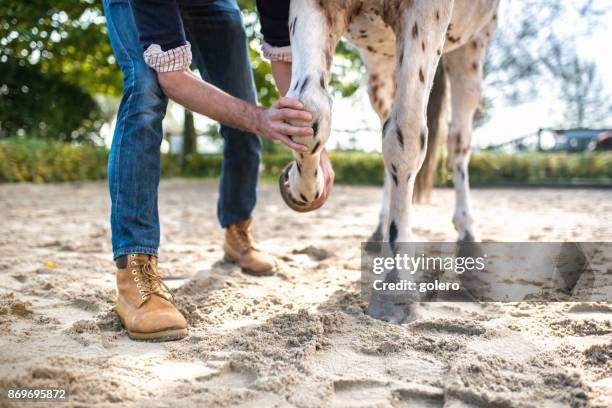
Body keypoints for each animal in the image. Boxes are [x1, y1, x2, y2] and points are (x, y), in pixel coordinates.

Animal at [276, 0, 498, 322]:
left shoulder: (427, 13)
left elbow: (405, 137)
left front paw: (395, 287)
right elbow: (309, 108)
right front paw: (299, 185)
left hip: (472, 46)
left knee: (458, 139)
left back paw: (468, 240)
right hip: (381, 62)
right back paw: (379, 230)